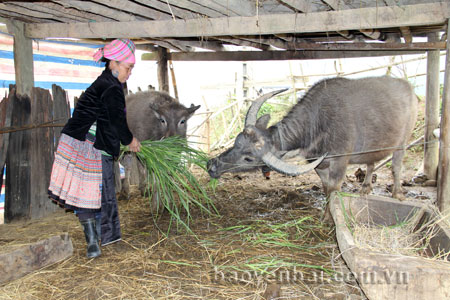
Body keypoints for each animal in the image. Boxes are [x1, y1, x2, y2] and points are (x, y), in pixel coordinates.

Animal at [207, 75, 418, 220]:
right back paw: (365, 188)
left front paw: (329, 218)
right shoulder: (319, 165)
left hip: (403, 142)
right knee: (371, 163)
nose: (211, 165)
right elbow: (325, 189)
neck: (318, 123)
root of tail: (408, 86)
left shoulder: (340, 163)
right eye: (237, 141)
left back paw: (398, 193)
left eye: (249, 158)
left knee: (396, 166)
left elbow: (333, 191)